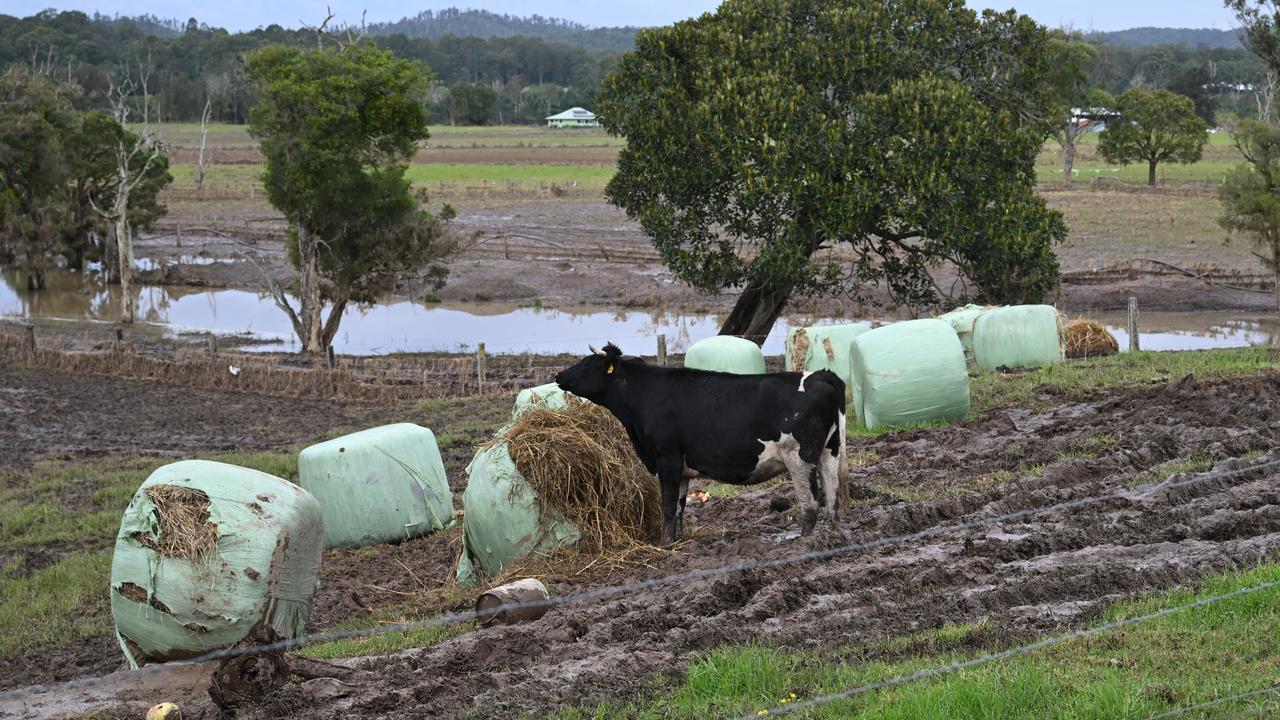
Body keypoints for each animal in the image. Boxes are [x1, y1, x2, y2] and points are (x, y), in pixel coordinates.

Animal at [554, 342, 847, 545]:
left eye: (586, 364)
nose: (558, 375)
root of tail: (820, 375)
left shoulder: (667, 458)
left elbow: (668, 505)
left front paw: (664, 545)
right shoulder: (682, 469)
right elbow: (680, 506)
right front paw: (677, 540)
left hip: (800, 457)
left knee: (812, 503)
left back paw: (804, 543)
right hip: (830, 452)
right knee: (833, 499)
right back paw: (835, 539)